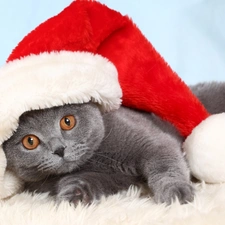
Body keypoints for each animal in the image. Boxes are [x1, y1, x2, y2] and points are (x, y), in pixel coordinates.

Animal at [2, 81, 224, 206]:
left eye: (67, 121)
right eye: (30, 141)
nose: (59, 149)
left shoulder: (153, 142)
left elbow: (165, 164)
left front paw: (175, 193)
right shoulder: (116, 179)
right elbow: (88, 180)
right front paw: (74, 195)